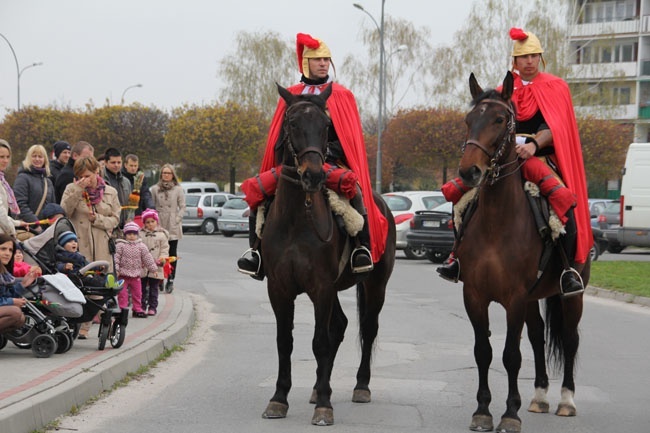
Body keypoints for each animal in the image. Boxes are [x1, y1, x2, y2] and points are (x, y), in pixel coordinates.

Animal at [260, 82, 394, 424]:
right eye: (293, 124)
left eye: (325, 126)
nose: (314, 175)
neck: (297, 219)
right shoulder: (279, 288)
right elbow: (284, 342)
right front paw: (279, 398)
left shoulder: (320, 287)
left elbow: (319, 341)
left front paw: (324, 405)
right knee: (341, 326)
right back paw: (320, 387)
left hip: (375, 284)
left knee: (367, 328)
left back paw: (360, 386)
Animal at [456, 71, 588, 432]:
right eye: (468, 120)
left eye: (500, 119)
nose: (469, 172)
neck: (496, 225)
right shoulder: (475, 295)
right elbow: (483, 351)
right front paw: (483, 410)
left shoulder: (514, 297)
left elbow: (510, 356)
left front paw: (509, 414)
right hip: (533, 297)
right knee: (538, 336)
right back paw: (540, 396)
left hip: (571, 293)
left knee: (569, 338)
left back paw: (567, 401)